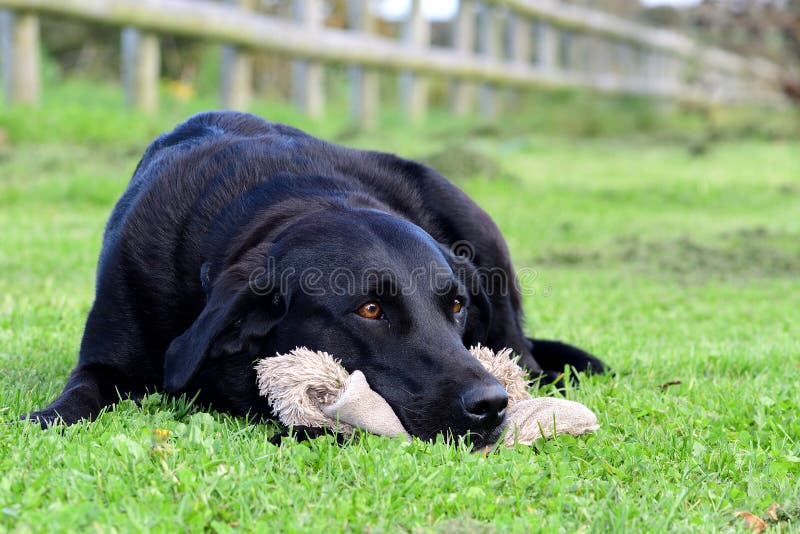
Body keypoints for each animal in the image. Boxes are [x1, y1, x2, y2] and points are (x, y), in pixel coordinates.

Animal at [21, 111, 604, 446]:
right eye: (370, 310)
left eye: (456, 306)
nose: (490, 406)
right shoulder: (106, 354)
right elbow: (81, 390)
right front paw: (49, 416)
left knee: (525, 356)